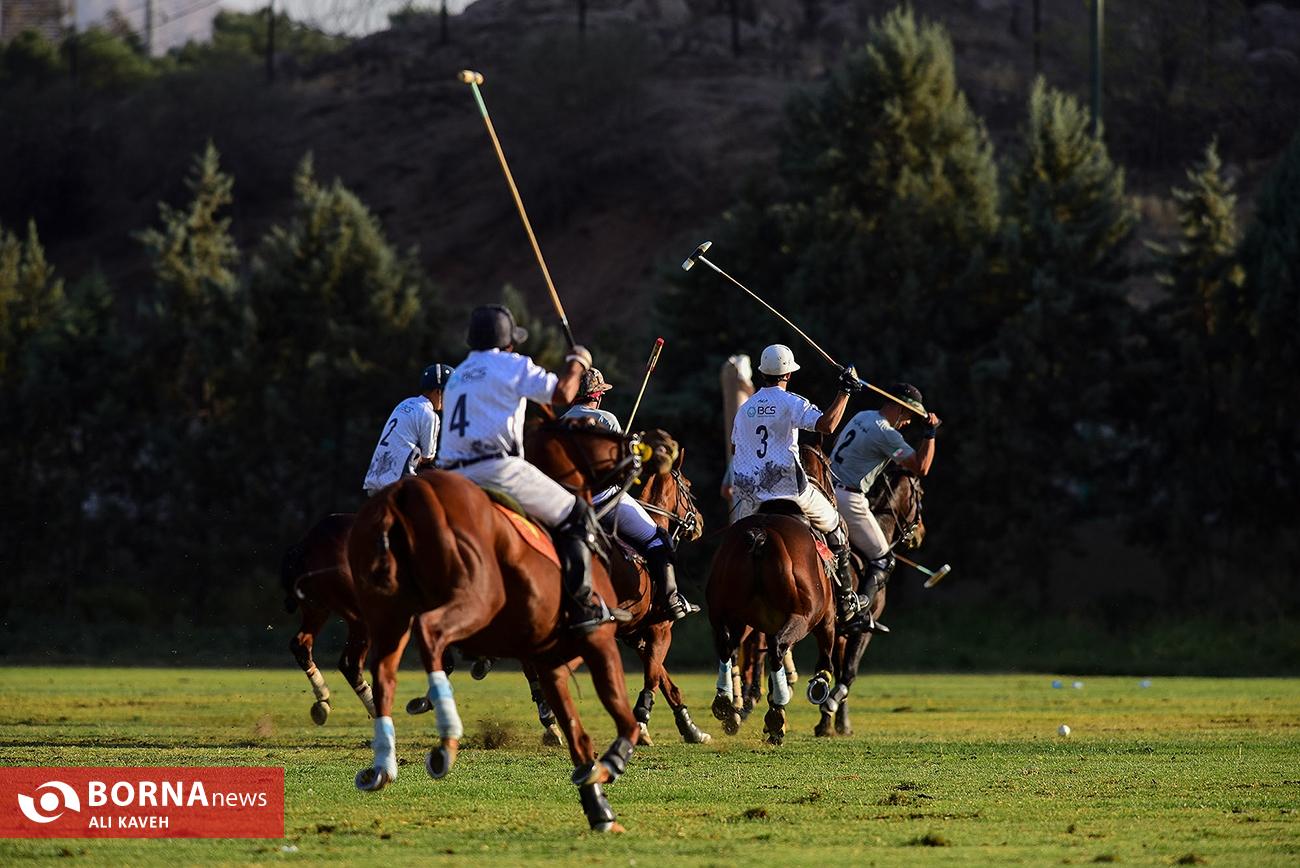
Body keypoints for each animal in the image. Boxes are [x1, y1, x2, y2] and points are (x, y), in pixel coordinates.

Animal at [347, 424, 646, 832]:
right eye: (599, 428)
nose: (637, 453)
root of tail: (403, 495)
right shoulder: (598, 641)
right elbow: (623, 719)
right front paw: (609, 766)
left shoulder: (550, 660)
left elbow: (577, 734)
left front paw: (598, 808)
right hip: (475, 598)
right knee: (430, 633)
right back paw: (446, 739)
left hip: (388, 617)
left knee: (384, 673)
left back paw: (382, 766)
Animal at [705, 442, 841, 745]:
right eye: (828, 467)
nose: (834, 497)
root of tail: (760, 535)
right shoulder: (826, 618)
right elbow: (824, 658)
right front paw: (817, 685)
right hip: (804, 615)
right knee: (778, 647)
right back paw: (776, 713)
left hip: (724, 612)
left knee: (726, 646)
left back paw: (726, 704)